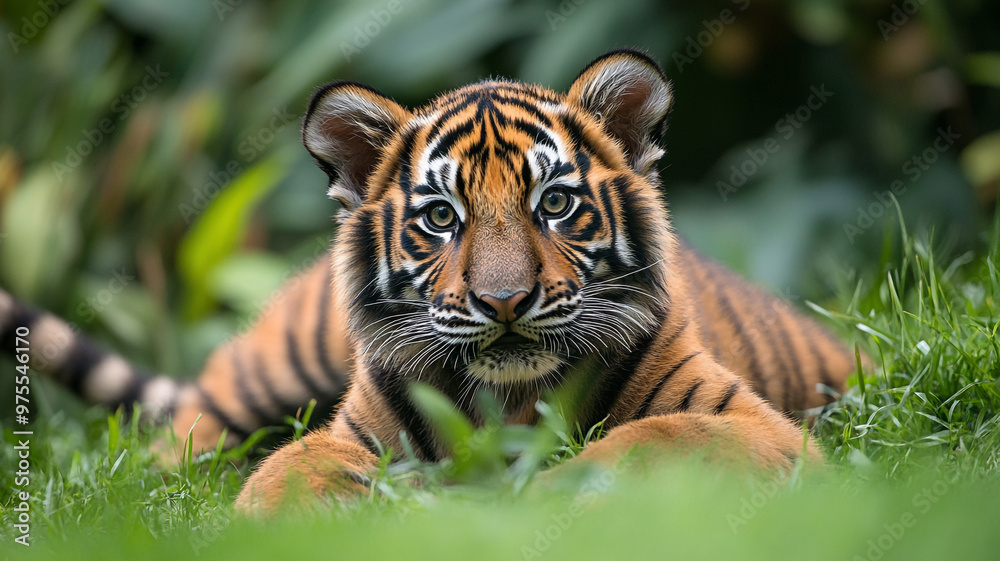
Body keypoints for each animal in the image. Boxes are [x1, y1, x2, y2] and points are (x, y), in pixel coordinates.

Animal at [0, 49, 855, 514]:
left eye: (554, 204)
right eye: (442, 216)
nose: (504, 301)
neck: (512, 400)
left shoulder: (754, 425)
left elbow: (658, 437)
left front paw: (549, 492)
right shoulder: (351, 433)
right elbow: (286, 471)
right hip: (265, 370)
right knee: (178, 442)